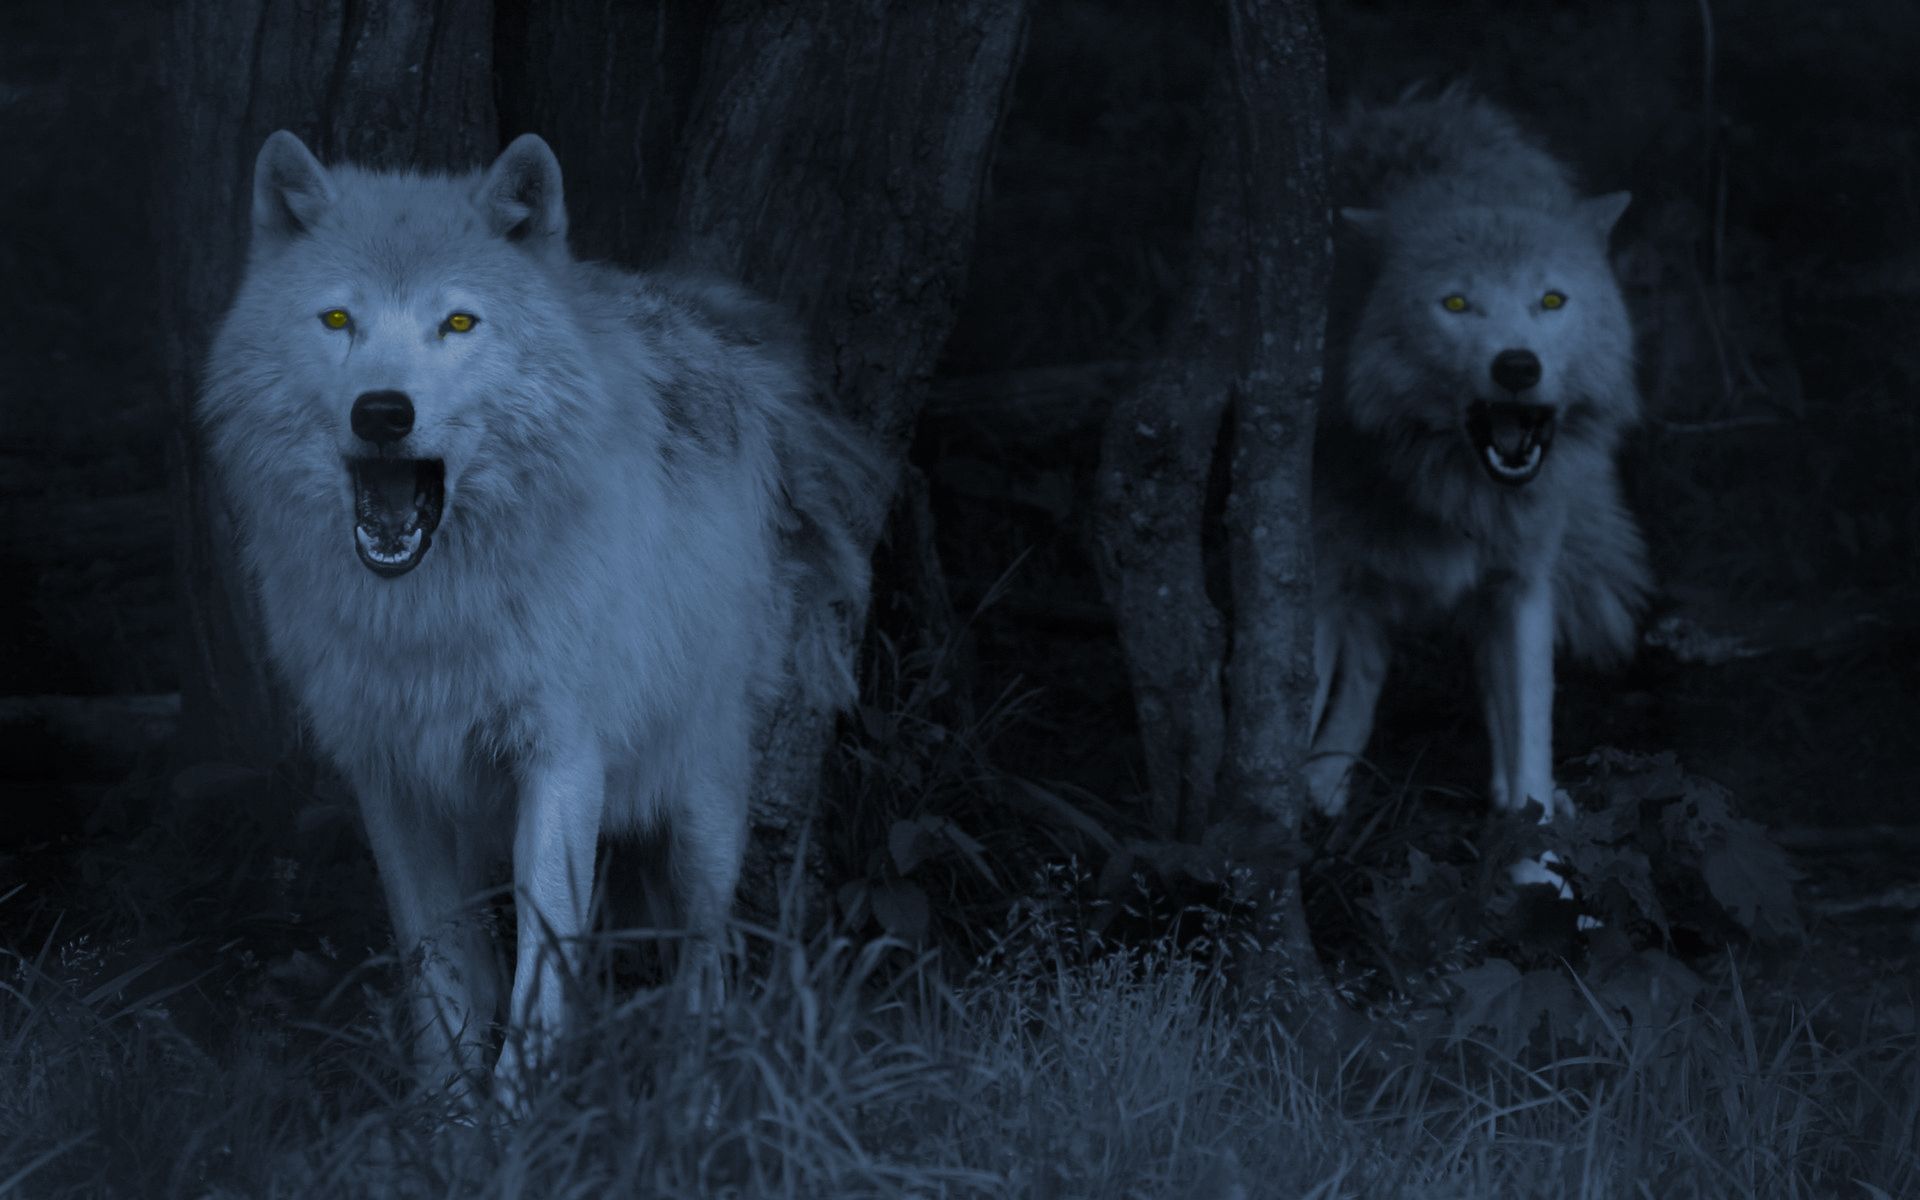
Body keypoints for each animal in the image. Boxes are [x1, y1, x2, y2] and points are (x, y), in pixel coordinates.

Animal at [199, 130, 882, 1099]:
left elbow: (541, 973)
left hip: (702, 802)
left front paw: (518, 1114)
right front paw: (449, 1115)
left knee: (704, 962)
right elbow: (442, 973)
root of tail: (700, 319)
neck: (436, 610)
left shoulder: (562, 762)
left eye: (458, 324)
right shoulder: (390, 778)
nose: (383, 412)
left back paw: (692, 1091)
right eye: (337, 321)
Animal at [1309, 87, 1651, 888]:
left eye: (1551, 301)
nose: (1517, 366)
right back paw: (1329, 778)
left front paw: (1540, 874)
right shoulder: (1314, 569)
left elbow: (1530, 735)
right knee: (1365, 663)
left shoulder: (1523, 583)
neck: (1451, 490)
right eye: (1457, 305)